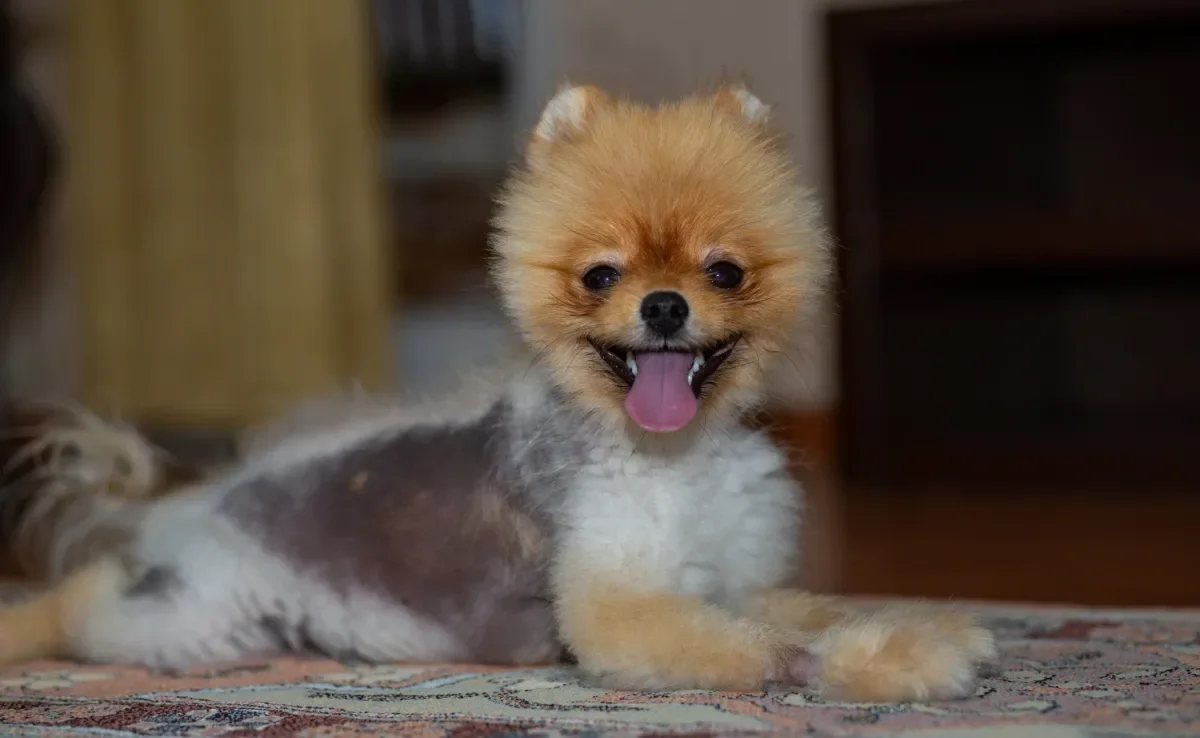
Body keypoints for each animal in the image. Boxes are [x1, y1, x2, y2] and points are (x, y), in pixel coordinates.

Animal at [0, 85, 993, 700]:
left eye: (725, 271)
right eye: (600, 276)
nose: (664, 305)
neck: (674, 456)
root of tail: (186, 500)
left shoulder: (732, 577)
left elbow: (813, 610)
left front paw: (913, 627)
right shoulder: (618, 602)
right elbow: (778, 650)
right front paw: (896, 660)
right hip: (191, 620)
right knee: (83, 599)